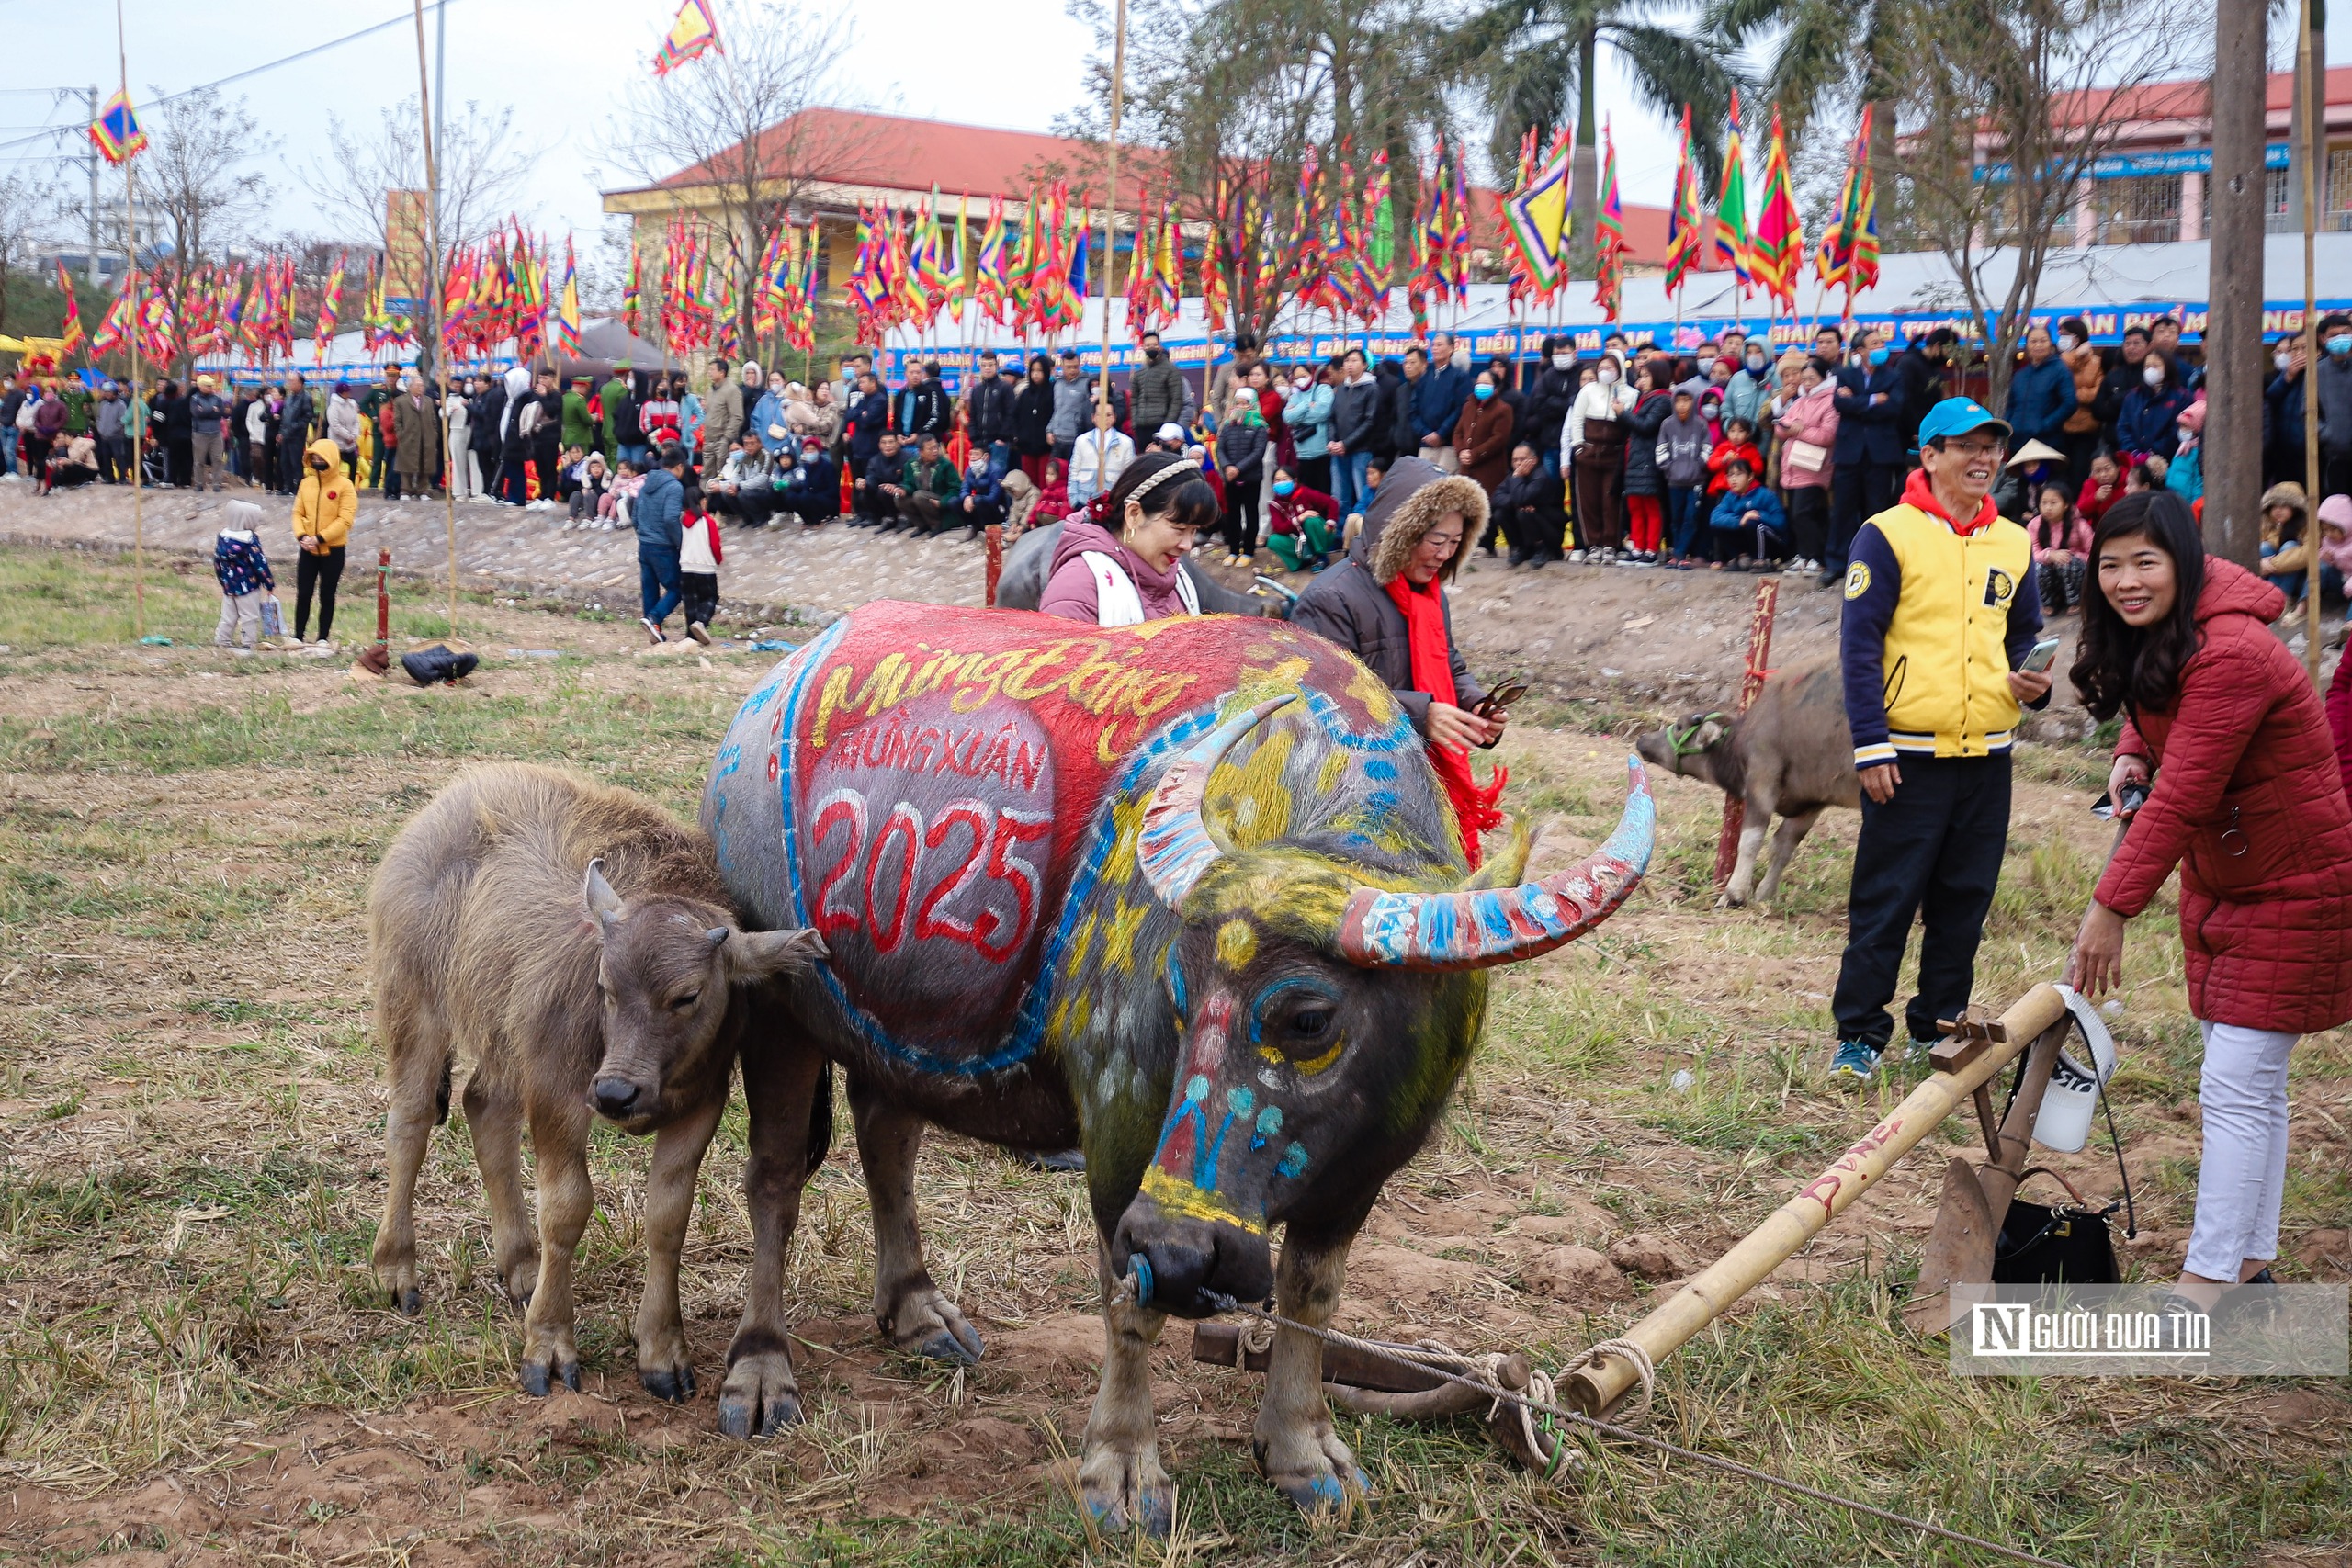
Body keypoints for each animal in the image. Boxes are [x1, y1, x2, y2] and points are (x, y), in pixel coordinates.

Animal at [700, 606, 1656, 1532]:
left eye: (1310, 1017)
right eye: (1177, 993)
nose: (1183, 1249)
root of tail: (761, 701)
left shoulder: (1362, 1173)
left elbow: (1311, 1297)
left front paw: (1304, 1453)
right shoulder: (1120, 1132)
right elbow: (1130, 1302)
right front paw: (1123, 1473)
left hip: (898, 1029)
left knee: (886, 1138)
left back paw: (917, 1310)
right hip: (776, 1005)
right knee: (775, 1179)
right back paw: (760, 1371)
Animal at [1636, 658, 1853, 907]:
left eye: (1680, 726)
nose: (1643, 739)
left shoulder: (1761, 779)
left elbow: (1751, 840)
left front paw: (1734, 893)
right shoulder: (1811, 802)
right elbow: (1783, 845)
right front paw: (1766, 894)